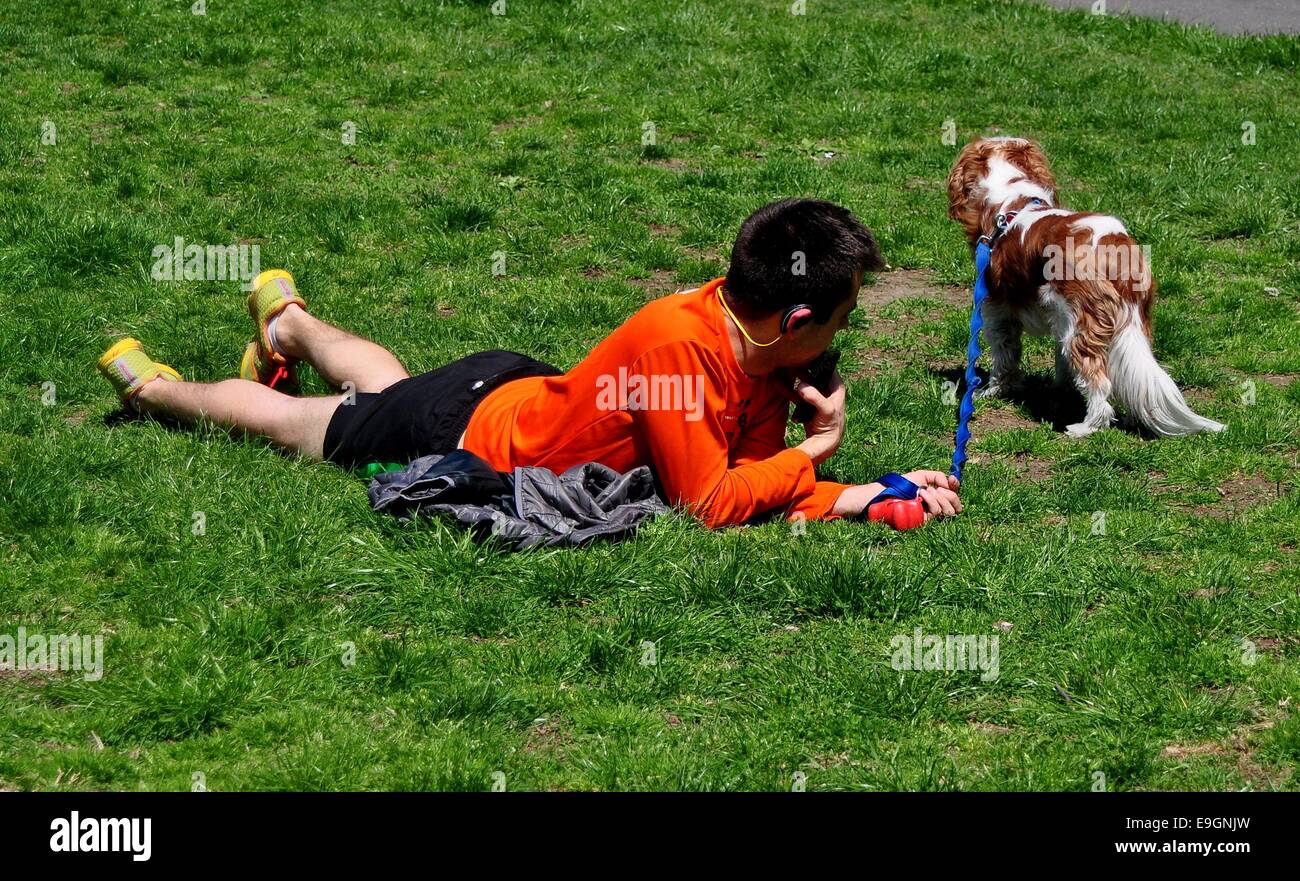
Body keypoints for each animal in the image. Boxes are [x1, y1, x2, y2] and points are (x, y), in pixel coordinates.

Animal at [951, 137, 1222, 439]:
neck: (1010, 200)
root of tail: (1116, 245)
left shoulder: (997, 309)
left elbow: (1004, 355)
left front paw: (993, 390)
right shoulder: (1057, 318)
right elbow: (1061, 364)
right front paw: (1059, 390)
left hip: (1081, 322)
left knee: (1099, 381)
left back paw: (1088, 426)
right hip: (1127, 324)